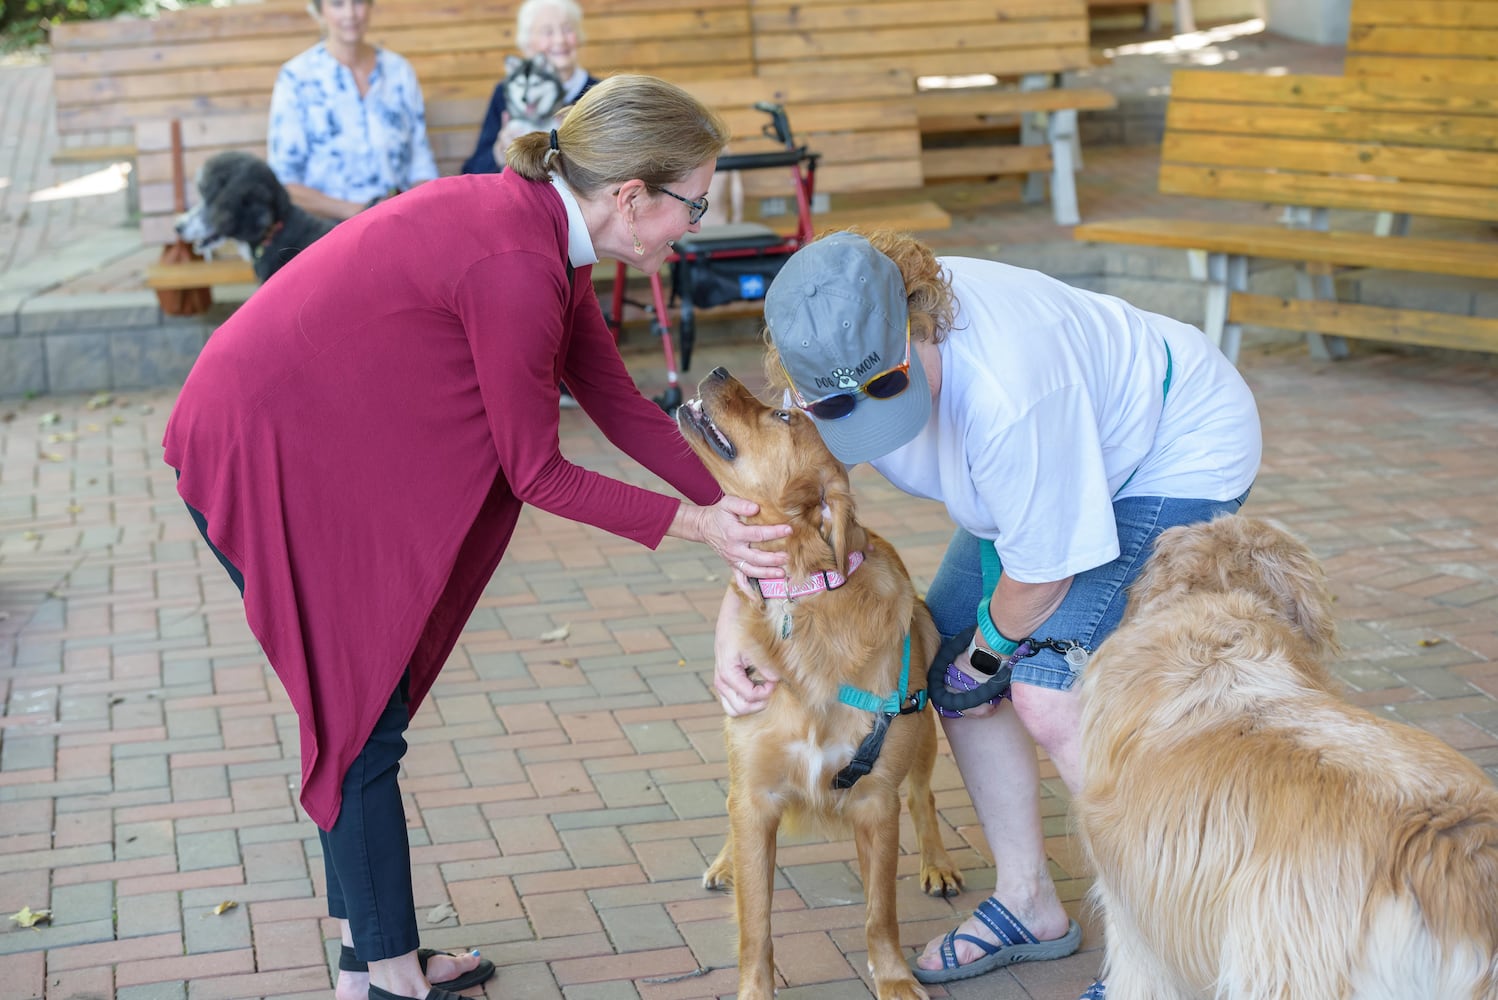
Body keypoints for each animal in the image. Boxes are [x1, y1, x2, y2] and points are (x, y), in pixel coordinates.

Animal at [677, 366, 958, 999]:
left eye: (783, 416)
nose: (716, 370)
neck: (801, 594)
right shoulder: (756, 793)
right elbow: (755, 925)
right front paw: (755, 990)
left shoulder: (876, 801)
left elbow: (881, 913)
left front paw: (895, 978)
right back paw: (725, 862)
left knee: (923, 794)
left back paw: (936, 862)